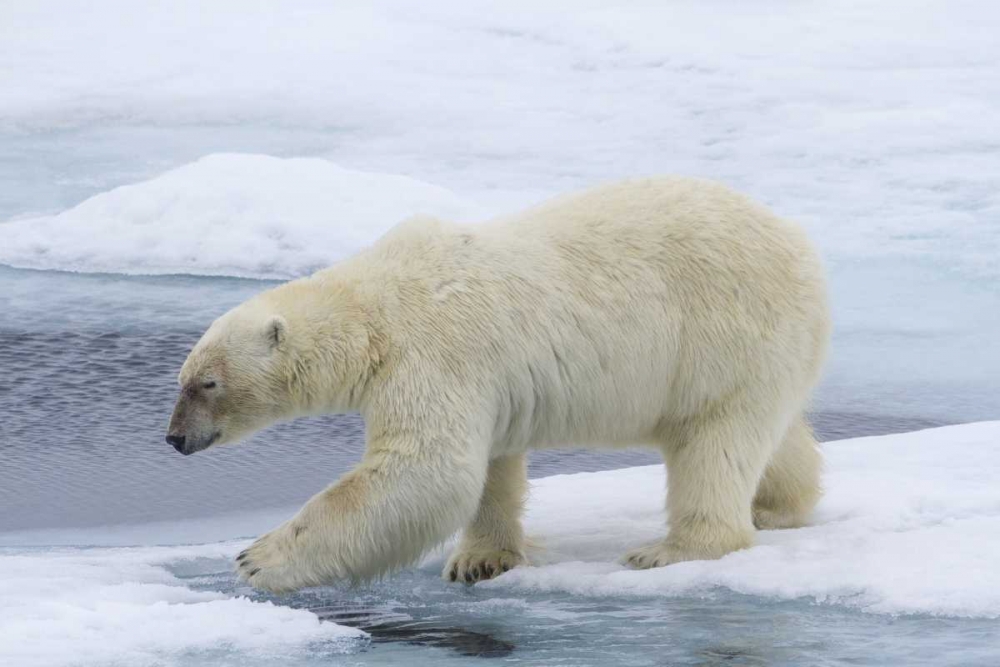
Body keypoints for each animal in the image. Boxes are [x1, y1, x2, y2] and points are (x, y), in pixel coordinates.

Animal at [168, 177, 832, 596]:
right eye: (182, 378)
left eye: (207, 383)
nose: (174, 438)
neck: (375, 307)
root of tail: (801, 246)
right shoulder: (484, 379)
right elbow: (487, 466)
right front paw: (480, 560)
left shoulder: (434, 352)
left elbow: (425, 468)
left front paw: (256, 558)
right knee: (766, 433)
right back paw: (778, 505)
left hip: (723, 332)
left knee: (715, 441)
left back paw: (672, 549)